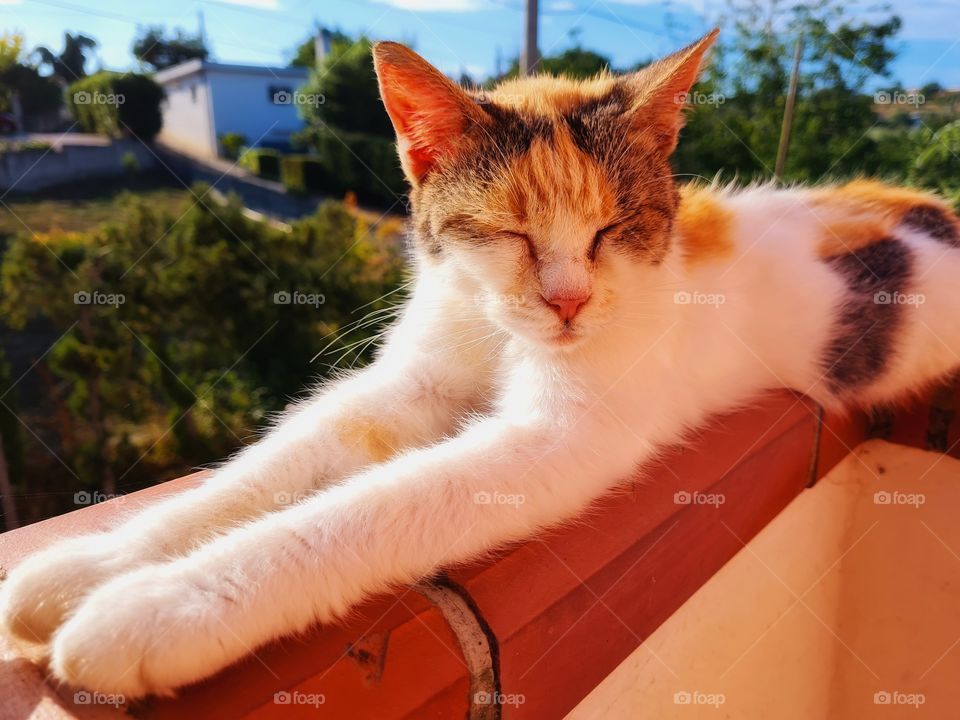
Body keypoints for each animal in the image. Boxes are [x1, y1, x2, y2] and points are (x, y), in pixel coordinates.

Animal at [1, 29, 960, 696]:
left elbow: (364, 509)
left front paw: (156, 610)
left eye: (613, 228)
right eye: (509, 233)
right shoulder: (404, 384)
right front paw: (86, 568)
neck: (500, 332)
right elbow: (263, 471)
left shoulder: (553, 438)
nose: (569, 301)